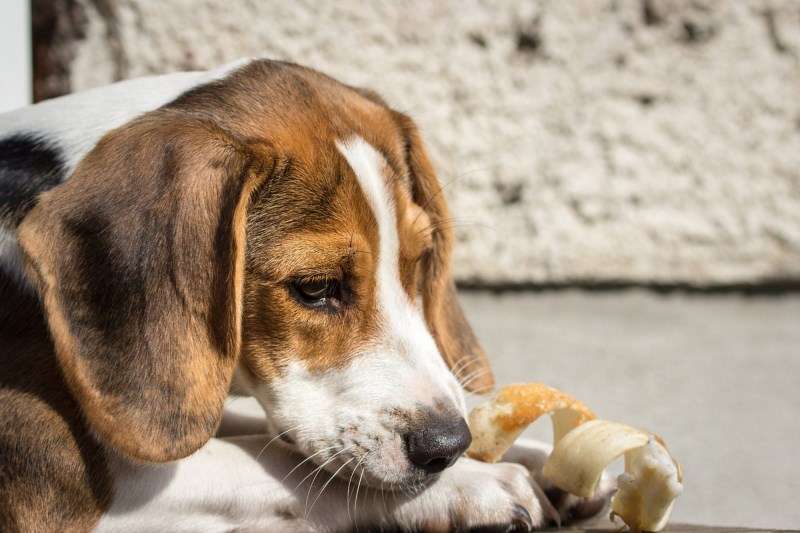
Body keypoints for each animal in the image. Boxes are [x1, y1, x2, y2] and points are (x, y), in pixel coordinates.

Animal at [0, 59, 608, 532]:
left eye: (416, 265)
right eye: (315, 287)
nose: (448, 446)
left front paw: (541, 456)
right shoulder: (61, 476)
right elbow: (274, 464)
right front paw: (476, 482)